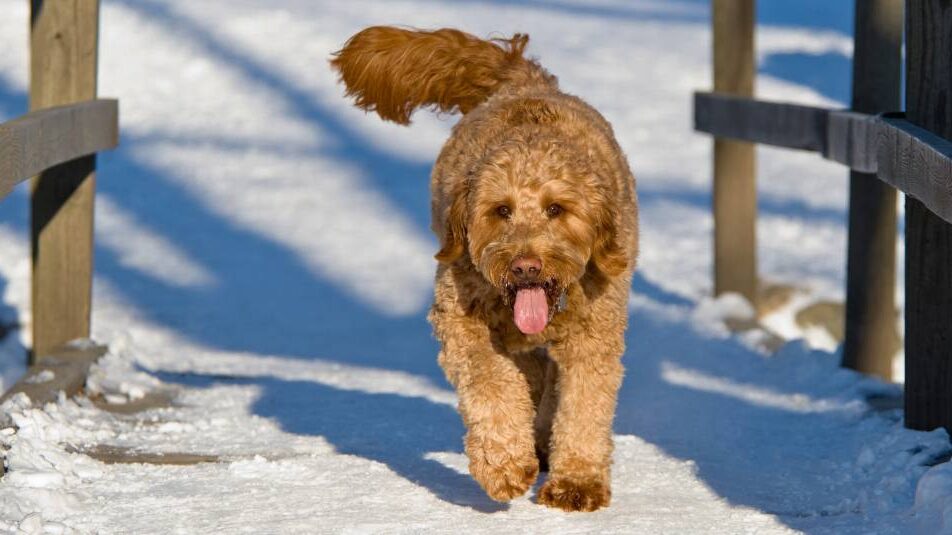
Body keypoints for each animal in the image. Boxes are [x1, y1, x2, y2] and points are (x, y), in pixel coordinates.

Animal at [332, 27, 640, 512]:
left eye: (557, 208)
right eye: (501, 210)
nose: (525, 266)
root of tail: (525, 80)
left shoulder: (595, 332)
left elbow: (584, 402)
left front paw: (577, 482)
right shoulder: (461, 319)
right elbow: (491, 382)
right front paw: (505, 466)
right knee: (529, 373)